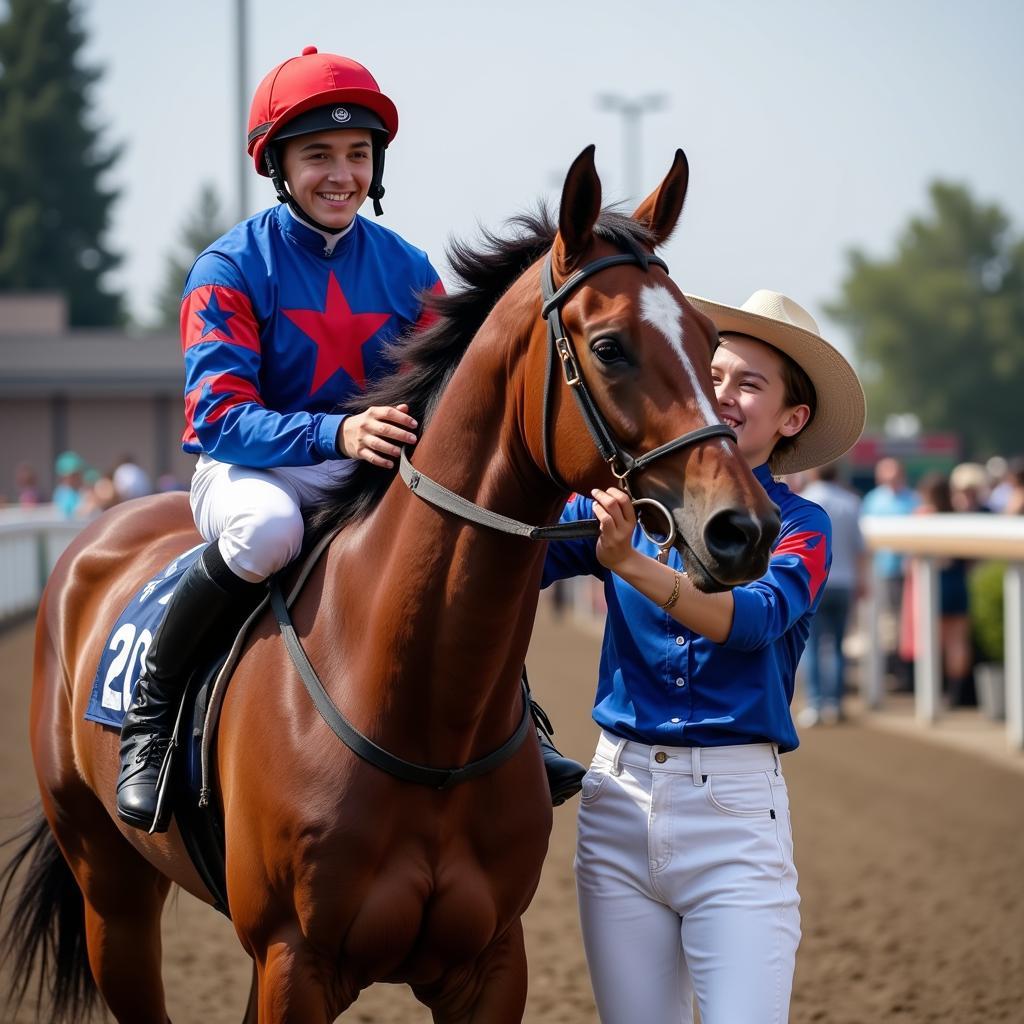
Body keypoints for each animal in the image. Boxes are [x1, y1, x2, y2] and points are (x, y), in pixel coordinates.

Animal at [0, 146, 778, 1024]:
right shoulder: (295, 960)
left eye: (710, 340)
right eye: (610, 346)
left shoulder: (489, 964)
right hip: (111, 887)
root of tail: (101, 531)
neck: (425, 719)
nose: (744, 529)